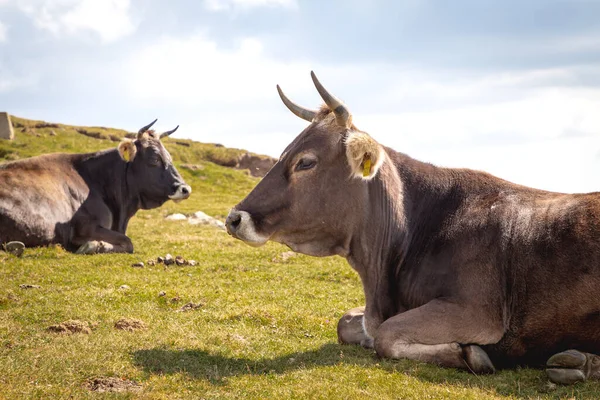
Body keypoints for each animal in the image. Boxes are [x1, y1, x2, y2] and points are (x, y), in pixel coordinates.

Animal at [0, 120, 191, 255]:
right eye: (154, 159)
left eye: (169, 157)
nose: (185, 189)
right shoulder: (84, 229)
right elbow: (128, 242)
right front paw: (93, 246)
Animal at [225, 72, 600, 384]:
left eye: (305, 162)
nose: (234, 218)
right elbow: (346, 322)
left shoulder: (478, 310)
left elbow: (387, 336)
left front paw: (470, 354)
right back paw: (581, 361)